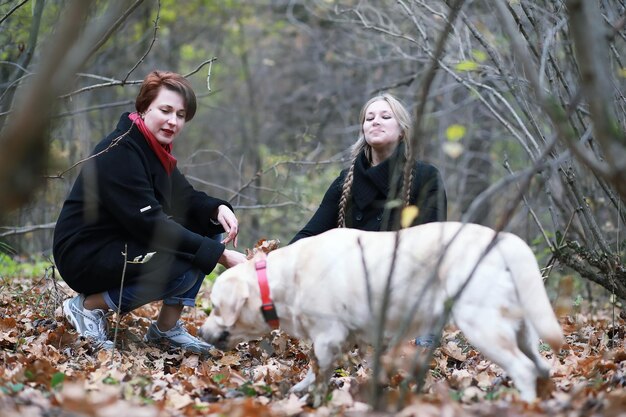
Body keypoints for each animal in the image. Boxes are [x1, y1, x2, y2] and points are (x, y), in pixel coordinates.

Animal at [201, 223, 564, 402]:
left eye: (217, 307)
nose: (202, 333)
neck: (282, 279)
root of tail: (505, 241)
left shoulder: (327, 335)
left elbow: (319, 370)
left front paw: (312, 398)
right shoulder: (346, 337)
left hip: (481, 325)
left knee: (524, 369)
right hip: (522, 330)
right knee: (541, 366)